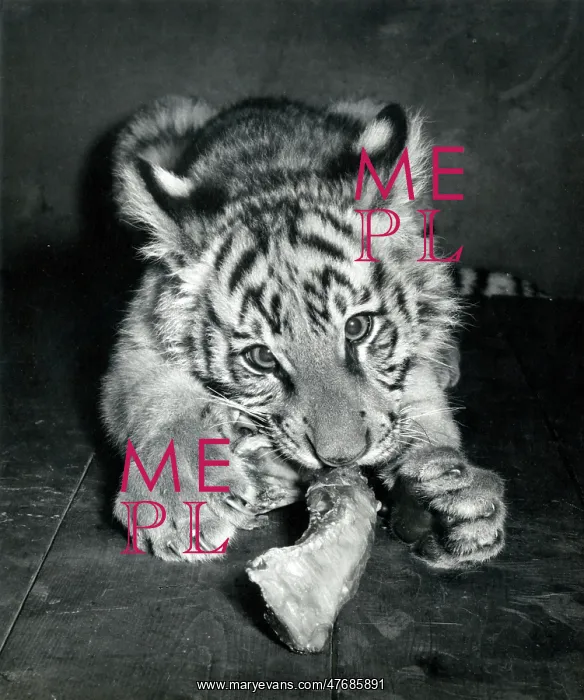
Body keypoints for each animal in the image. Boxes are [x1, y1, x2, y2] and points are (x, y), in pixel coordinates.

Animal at [101, 95, 507, 569]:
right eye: (260, 358)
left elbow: (423, 402)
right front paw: (181, 503)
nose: (341, 458)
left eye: (358, 327)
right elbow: (160, 401)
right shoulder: (137, 342)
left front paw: (451, 495)